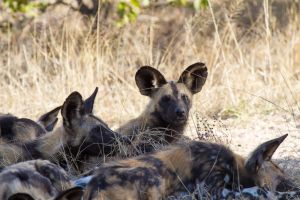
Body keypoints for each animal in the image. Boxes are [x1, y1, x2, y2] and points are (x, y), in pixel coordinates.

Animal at [80, 134, 300, 200]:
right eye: (283, 180)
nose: (296, 187)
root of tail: (95, 186)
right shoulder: (213, 191)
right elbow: (260, 191)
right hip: (152, 176)